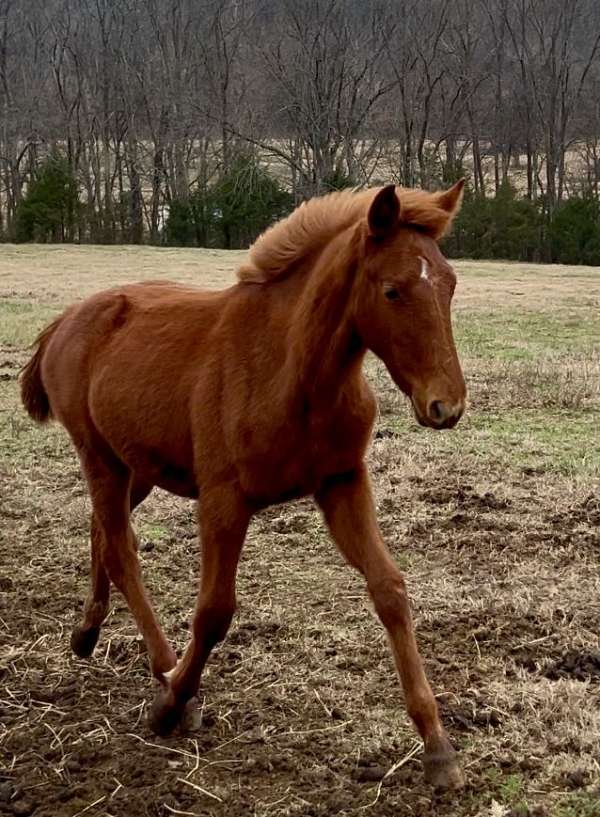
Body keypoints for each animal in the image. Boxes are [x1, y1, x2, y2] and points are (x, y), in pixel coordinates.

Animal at [19, 182, 464, 788]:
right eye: (392, 290)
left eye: (450, 284)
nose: (447, 405)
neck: (293, 375)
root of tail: (66, 318)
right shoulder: (224, 500)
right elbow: (215, 611)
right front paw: (172, 705)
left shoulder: (343, 483)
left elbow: (390, 589)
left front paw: (438, 746)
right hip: (100, 458)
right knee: (122, 550)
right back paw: (163, 669)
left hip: (137, 466)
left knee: (102, 533)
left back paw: (88, 633)